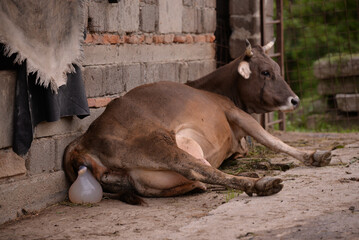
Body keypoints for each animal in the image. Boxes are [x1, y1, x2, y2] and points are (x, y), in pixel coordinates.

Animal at [63, 39, 334, 204]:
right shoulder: (234, 112)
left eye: (277, 68)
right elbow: (272, 140)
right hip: (157, 143)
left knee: (198, 179)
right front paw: (313, 156)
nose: (295, 100)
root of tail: (82, 141)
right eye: (265, 72)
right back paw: (259, 184)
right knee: (197, 168)